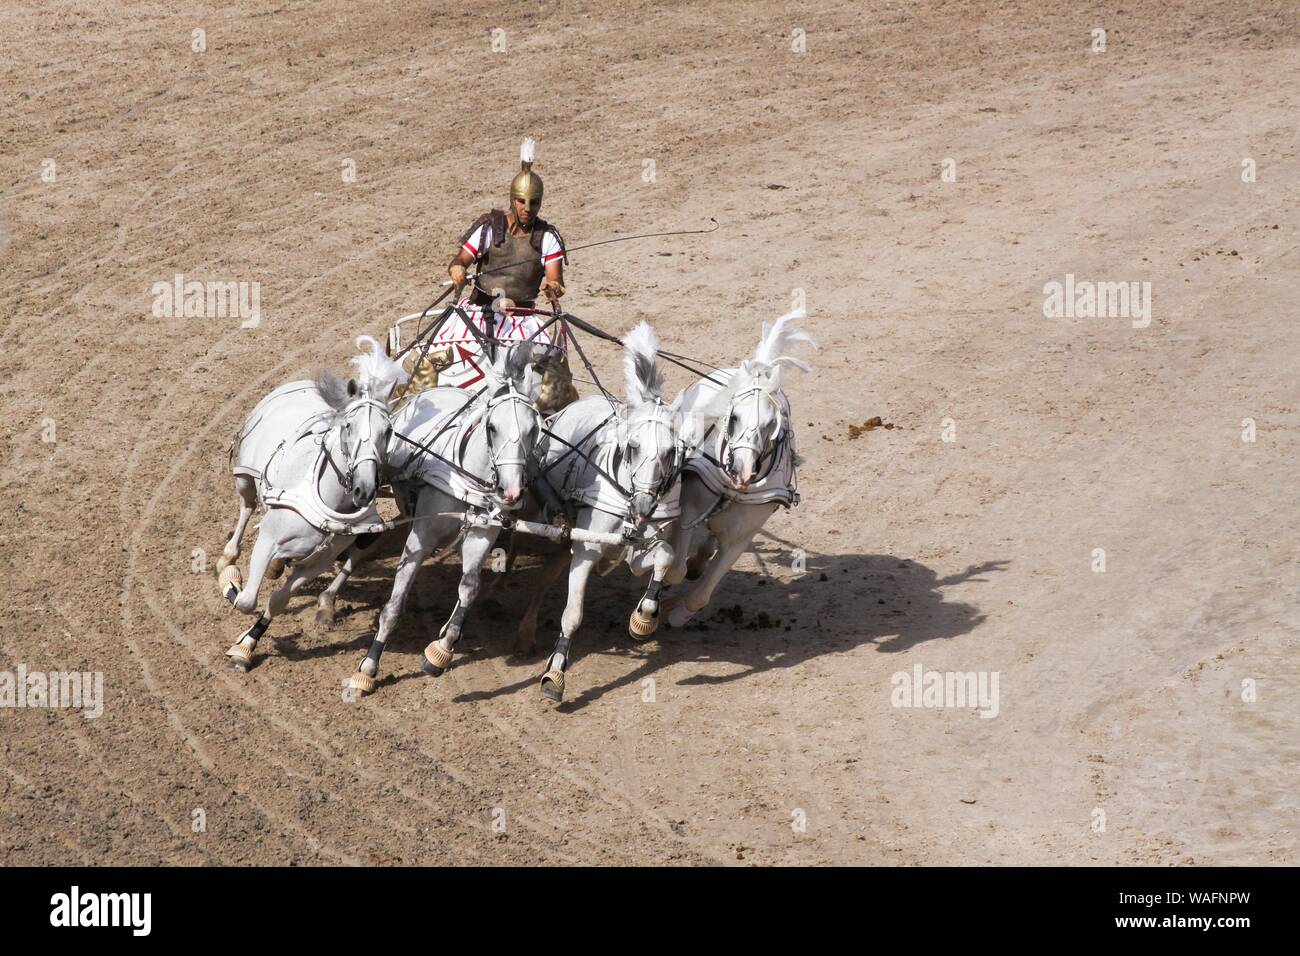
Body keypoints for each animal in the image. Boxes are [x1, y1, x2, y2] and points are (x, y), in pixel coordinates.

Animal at [215, 335, 405, 671]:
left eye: (389, 430)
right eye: (348, 426)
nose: (364, 489)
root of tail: (297, 384)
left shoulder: (321, 561)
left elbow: (278, 600)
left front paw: (247, 644)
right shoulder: (268, 539)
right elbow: (247, 600)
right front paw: (231, 587)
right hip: (245, 478)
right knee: (246, 508)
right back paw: (228, 558)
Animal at [340, 343, 543, 697]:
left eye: (534, 429)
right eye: (492, 427)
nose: (512, 491)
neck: (468, 477)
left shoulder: (481, 535)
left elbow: (470, 588)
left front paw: (441, 651)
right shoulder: (421, 535)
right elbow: (394, 604)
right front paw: (367, 668)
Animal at [506, 321, 691, 702]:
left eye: (671, 451)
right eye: (633, 447)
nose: (644, 506)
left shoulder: (638, 547)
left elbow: (664, 557)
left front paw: (644, 617)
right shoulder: (587, 549)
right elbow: (572, 614)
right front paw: (554, 675)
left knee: (543, 580)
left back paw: (526, 633)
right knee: (530, 564)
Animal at [660, 308, 811, 629]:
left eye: (771, 423)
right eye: (734, 417)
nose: (742, 471)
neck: (733, 487)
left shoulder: (741, 539)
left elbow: (701, 594)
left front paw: (676, 614)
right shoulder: (689, 509)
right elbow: (675, 569)